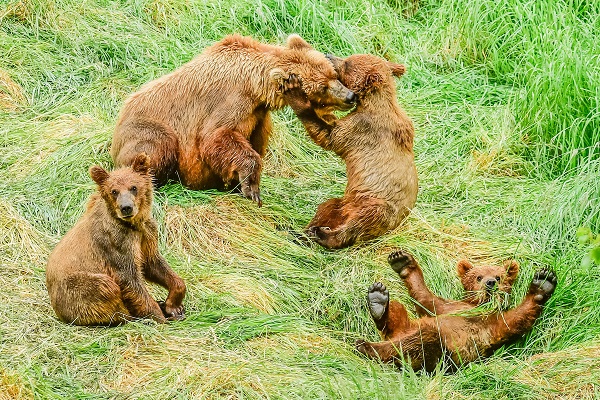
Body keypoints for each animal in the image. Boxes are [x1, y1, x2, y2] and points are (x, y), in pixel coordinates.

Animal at [46, 153, 186, 324]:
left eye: (133, 187)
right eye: (114, 191)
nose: (126, 207)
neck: (133, 225)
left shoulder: (146, 235)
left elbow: (154, 264)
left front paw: (173, 305)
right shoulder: (116, 243)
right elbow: (130, 279)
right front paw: (159, 317)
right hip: (73, 288)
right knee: (105, 287)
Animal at [111, 33, 356, 206]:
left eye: (334, 75)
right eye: (322, 87)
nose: (350, 96)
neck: (256, 87)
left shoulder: (258, 116)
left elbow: (253, 141)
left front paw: (238, 184)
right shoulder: (232, 99)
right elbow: (216, 136)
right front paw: (251, 188)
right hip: (147, 129)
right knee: (156, 147)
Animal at [282, 52, 418, 247]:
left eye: (347, 63)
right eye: (349, 58)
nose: (328, 55)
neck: (370, 102)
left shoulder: (363, 128)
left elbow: (329, 136)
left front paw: (294, 90)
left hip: (378, 204)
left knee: (359, 223)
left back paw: (323, 235)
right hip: (345, 203)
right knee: (327, 207)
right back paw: (304, 231)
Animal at [356, 250, 556, 372]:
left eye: (499, 277)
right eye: (478, 277)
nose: (490, 283)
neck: (477, 306)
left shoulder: (492, 325)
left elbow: (517, 319)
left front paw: (543, 283)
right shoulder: (449, 307)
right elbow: (425, 298)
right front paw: (402, 261)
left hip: (439, 354)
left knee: (419, 340)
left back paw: (367, 346)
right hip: (408, 328)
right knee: (397, 312)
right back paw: (378, 301)